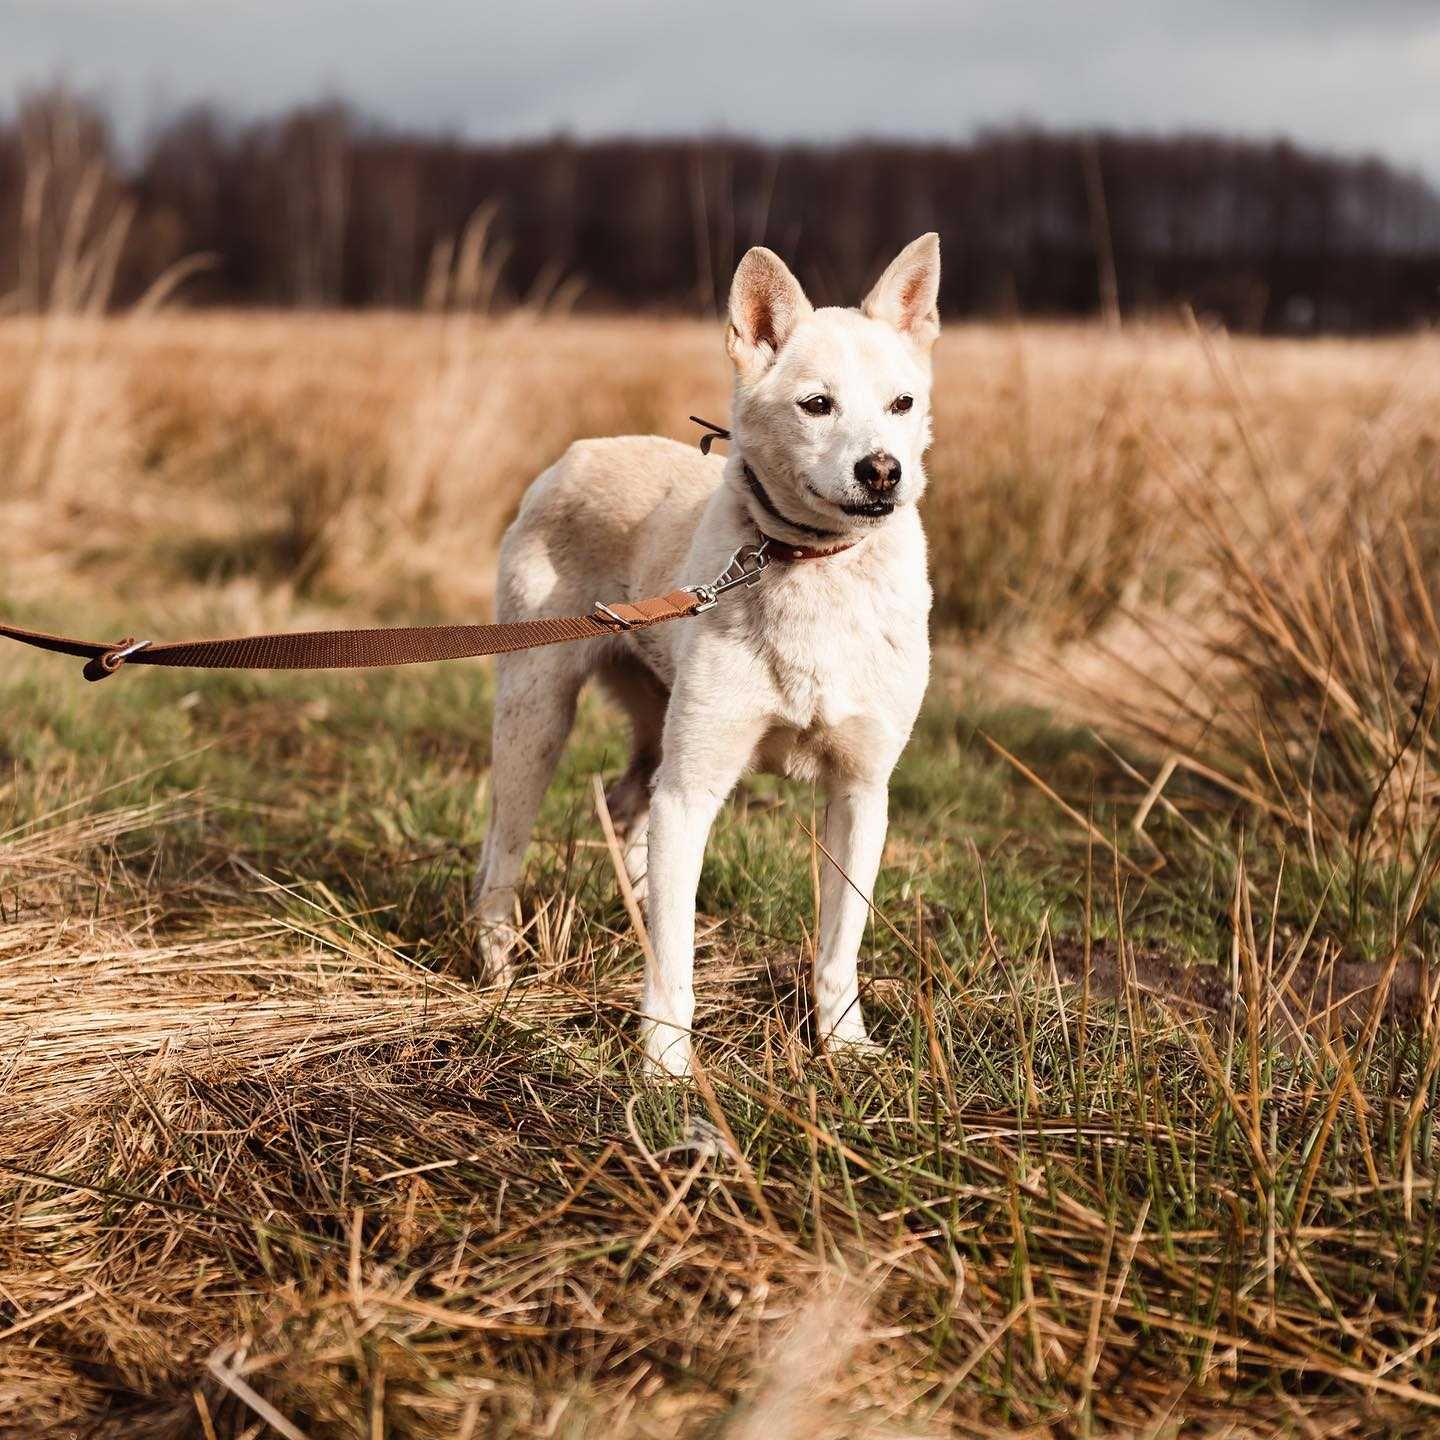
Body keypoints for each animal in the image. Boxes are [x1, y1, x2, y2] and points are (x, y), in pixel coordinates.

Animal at [472, 233, 938, 1071]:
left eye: (901, 404)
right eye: (816, 405)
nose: (883, 471)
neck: (810, 565)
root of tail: (575, 454)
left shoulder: (862, 793)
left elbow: (838, 946)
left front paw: (845, 1046)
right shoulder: (694, 789)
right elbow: (675, 951)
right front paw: (664, 1066)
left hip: (653, 727)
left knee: (626, 808)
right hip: (536, 718)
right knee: (504, 852)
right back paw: (499, 975)